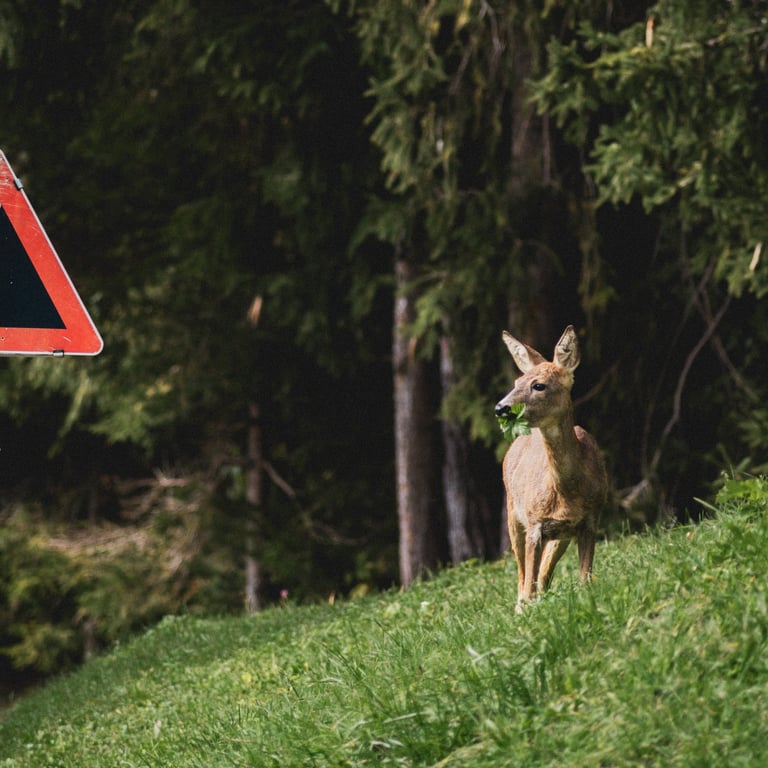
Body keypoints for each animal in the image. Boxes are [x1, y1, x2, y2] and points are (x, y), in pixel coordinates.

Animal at [495, 325, 607, 611]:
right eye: (516, 383)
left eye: (539, 385)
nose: (501, 408)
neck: (568, 491)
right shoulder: (534, 523)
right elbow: (527, 586)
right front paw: (525, 611)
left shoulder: (590, 519)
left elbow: (584, 580)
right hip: (513, 513)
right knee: (523, 577)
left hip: (560, 535)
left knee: (542, 576)